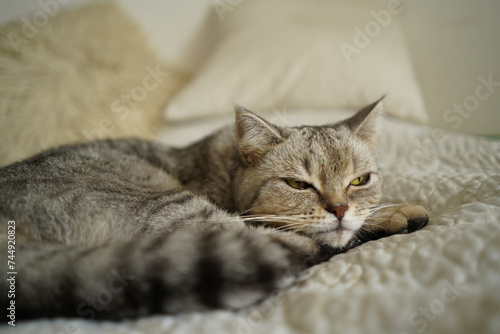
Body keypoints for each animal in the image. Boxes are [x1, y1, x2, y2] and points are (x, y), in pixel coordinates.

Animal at [1, 100, 428, 320]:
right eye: (298, 184)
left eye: (360, 180)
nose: (340, 209)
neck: (223, 163)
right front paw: (393, 214)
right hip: (175, 207)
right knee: (301, 248)